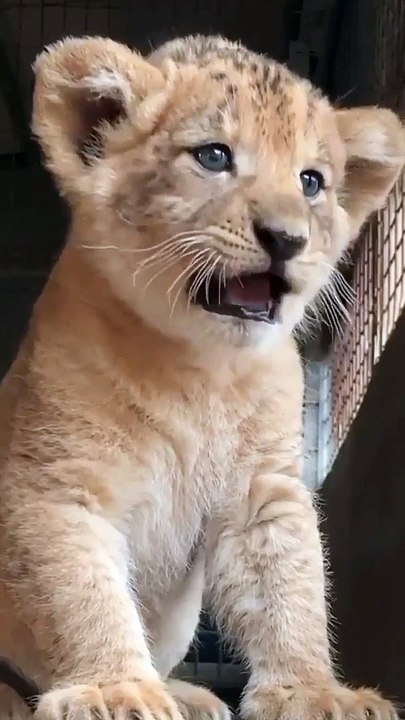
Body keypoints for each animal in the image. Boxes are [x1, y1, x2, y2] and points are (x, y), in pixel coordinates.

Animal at [0, 34, 403, 720]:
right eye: (214, 155)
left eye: (312, 181)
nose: (286, 239)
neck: (199, 369)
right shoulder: (58, 481)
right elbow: (81, 591)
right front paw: (114, 691)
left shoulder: (263, 488)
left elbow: (289, 590)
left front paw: (315, 693)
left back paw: (188, 693)